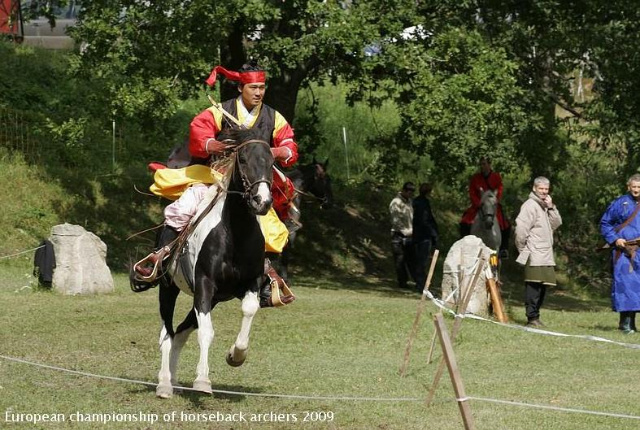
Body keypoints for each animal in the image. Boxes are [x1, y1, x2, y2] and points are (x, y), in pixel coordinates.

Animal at [158, 127, 276, 400]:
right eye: (243, 159)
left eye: (272, 161)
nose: (261, 201)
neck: (236, 235)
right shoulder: (204, 283)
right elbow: (206, 332)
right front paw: (202, 379)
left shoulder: (251, 283)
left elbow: (249, 310)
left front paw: (236, 355)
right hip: (168, 289)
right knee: (167, 333)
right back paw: (164, 384)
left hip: (210, 298)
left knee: (180, 332)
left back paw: (174, 380)